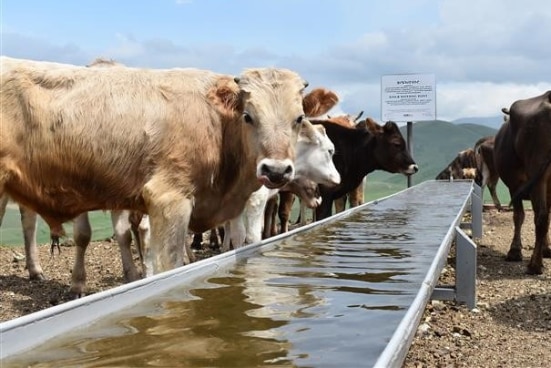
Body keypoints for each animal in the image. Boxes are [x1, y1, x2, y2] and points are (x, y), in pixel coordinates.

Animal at [494, 91, 551, 274]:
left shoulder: (515, 185)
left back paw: (534, 265)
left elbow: (518, 215)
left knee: (540, 216)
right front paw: (547, 249)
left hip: (537, 172)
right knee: (543, 216)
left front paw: (514, 251)